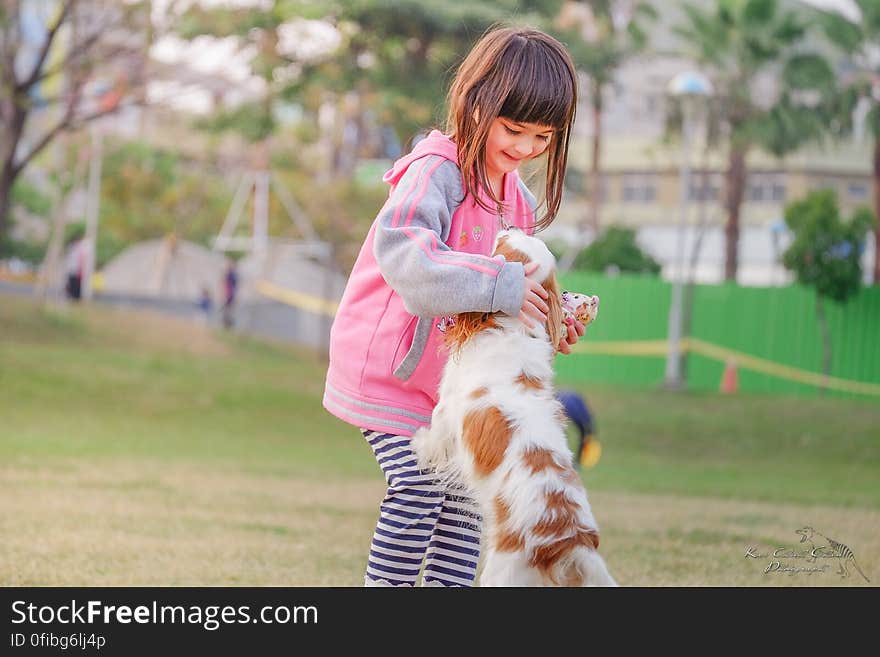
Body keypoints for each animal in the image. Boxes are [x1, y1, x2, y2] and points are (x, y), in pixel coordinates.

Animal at [410, 229, 612, 584]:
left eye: (503, 246)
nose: (510, 228)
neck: (513, 327)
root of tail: (571, 539)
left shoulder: (448, 407)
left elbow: (434, 435)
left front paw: (419, 444)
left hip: (502, 570)